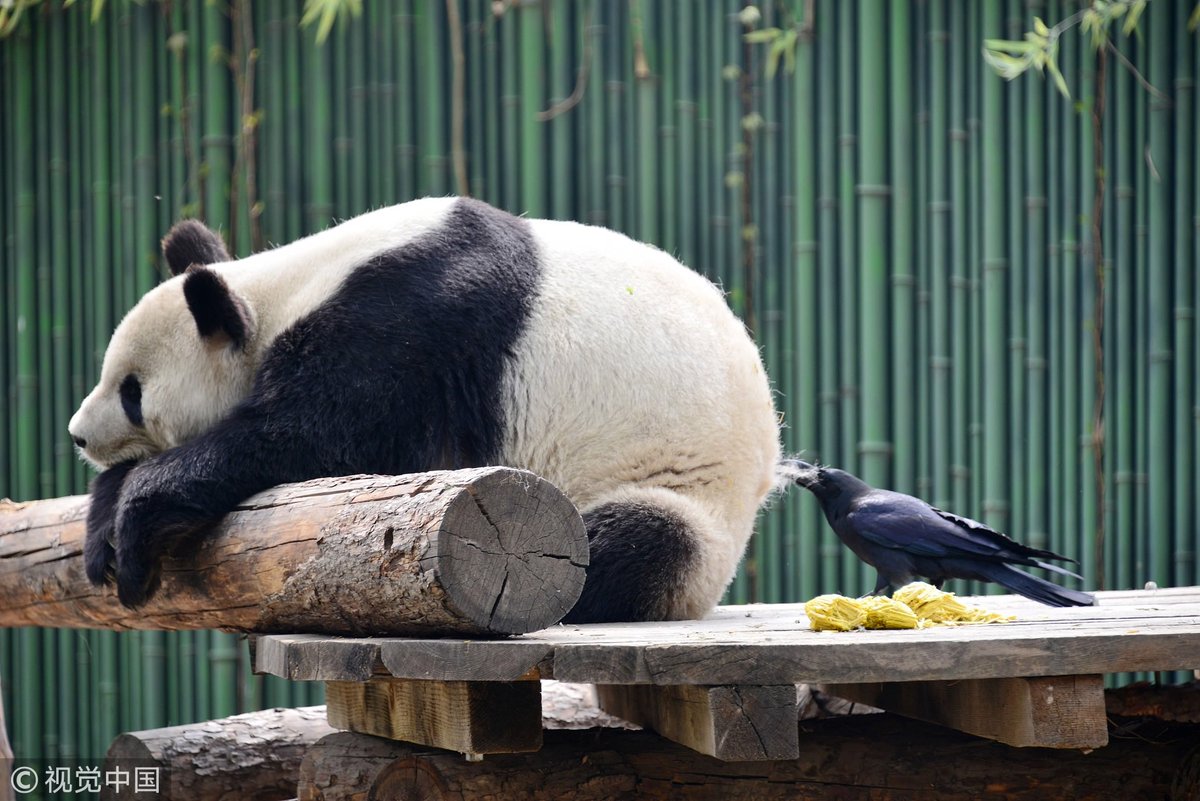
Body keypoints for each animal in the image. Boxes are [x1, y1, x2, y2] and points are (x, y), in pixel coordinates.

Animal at [68, 197, 783, 621]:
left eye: (132, 392)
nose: (77, 434)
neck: (279, 290)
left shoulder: (406, 328)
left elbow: (313, 441)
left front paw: (138, 515)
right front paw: (105, 522)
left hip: (680, 494)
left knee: (625, 543)